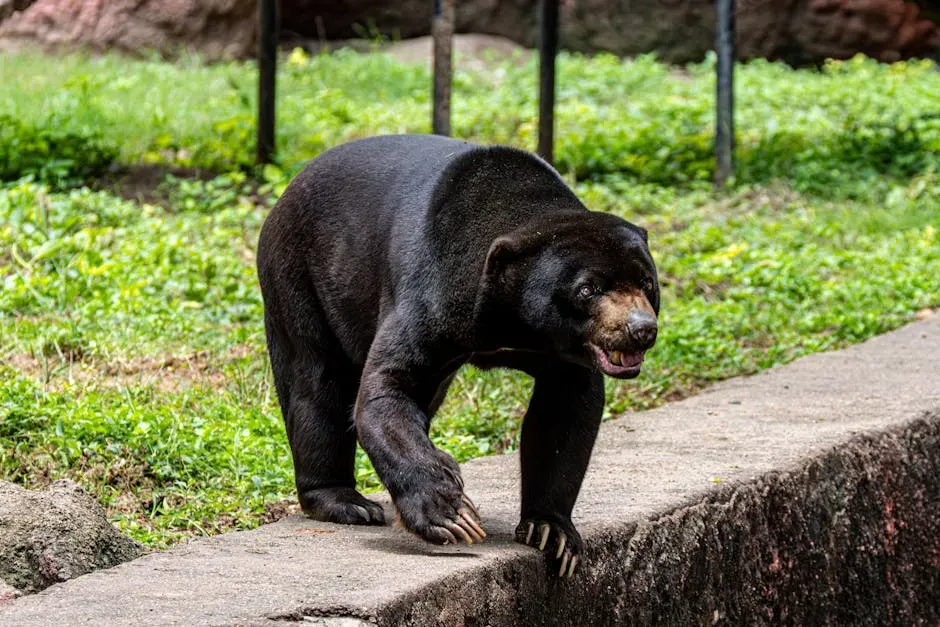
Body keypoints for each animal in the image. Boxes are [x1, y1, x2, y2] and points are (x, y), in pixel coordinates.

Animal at [256, 134, 659, 577]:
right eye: (587, 289)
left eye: (646, 283)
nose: (641, 329)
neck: (509, 323)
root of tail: (286, 190)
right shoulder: (431, 291)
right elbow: (386, 389)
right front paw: (451, 514)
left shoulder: (557, 347)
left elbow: (565, 410)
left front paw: (552, 534)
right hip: (300, 276)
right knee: (317, 385)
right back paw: (347, 502)